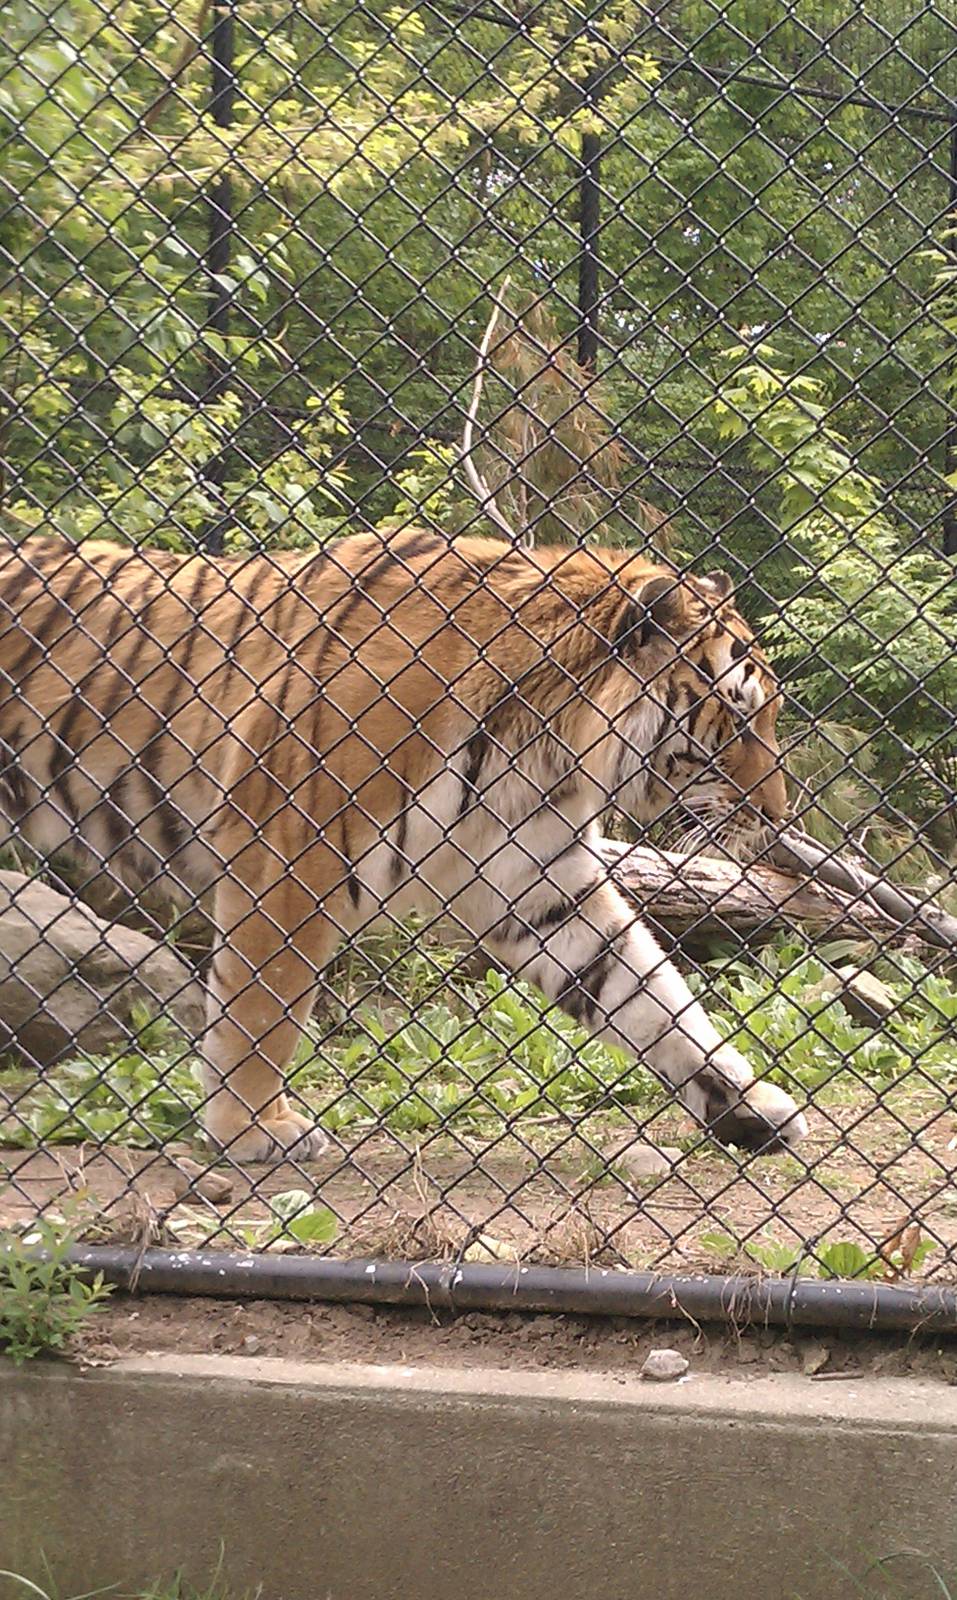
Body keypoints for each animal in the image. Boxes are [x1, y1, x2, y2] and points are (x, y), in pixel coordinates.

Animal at [0, 527, 807, 1163]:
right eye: (738, 722)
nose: (779, 813)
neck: (544, 746)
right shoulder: (288, 855)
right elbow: (265, 1009)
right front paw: (255, 1129)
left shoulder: (540, 884)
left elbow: (654, 999)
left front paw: (749, 1107)